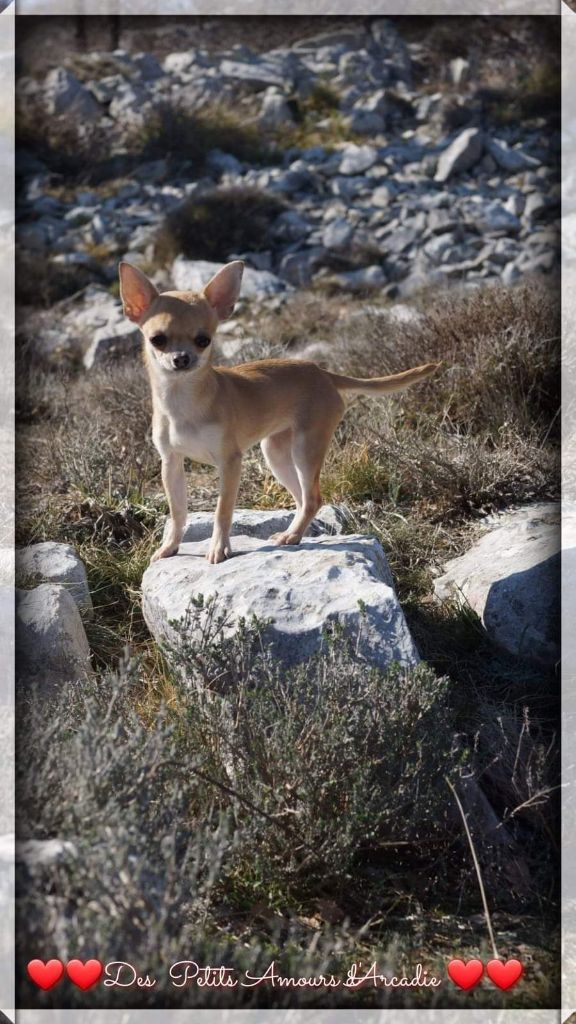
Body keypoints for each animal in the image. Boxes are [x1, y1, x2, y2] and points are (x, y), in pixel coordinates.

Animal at [117, 264, 438, 565]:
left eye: (203, 340)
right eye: (157, 339)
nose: (181, 359)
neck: (182, 401)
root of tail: (323, 373)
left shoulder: (230, 463)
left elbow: (222, 511)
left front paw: (219, 548)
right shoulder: (171, 462)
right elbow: (178, 511)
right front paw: (170, 547)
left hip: (306, 448)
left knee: (312, 497)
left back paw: (292, 536)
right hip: (276, 452)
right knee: (303, 499)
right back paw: (292, 532)